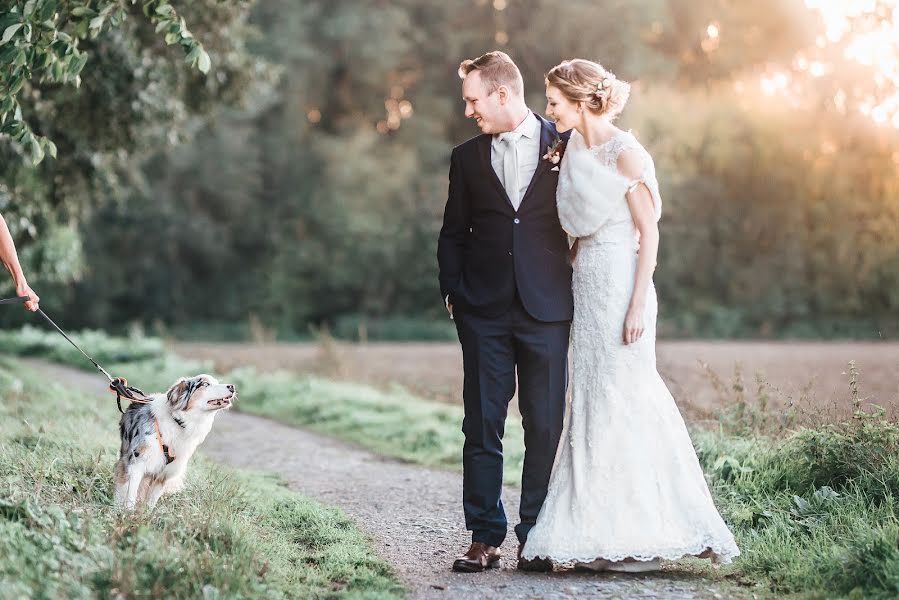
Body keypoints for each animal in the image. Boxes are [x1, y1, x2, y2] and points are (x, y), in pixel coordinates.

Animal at [113, 376, 236, 506]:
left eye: (217, 382)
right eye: (205, 384)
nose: (232, 386)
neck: (179, 422)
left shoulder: (164, 475)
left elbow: (151, 503)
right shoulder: (137, 464)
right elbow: (130, 497)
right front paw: (127, 511)